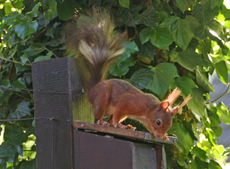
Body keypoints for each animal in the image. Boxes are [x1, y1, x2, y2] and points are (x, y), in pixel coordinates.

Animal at [65, 8, 191, 139]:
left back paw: (125, 126)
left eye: (170, 125)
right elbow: (119, 110)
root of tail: (92, 91)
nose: (160, 136)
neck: (147, 110)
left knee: (110, 119)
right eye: (158, 122)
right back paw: (102, 122)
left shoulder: (146, 121)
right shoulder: (129, 102)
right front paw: (116, 123)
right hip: (102, 95)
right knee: (99, 115)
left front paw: (165, 136)